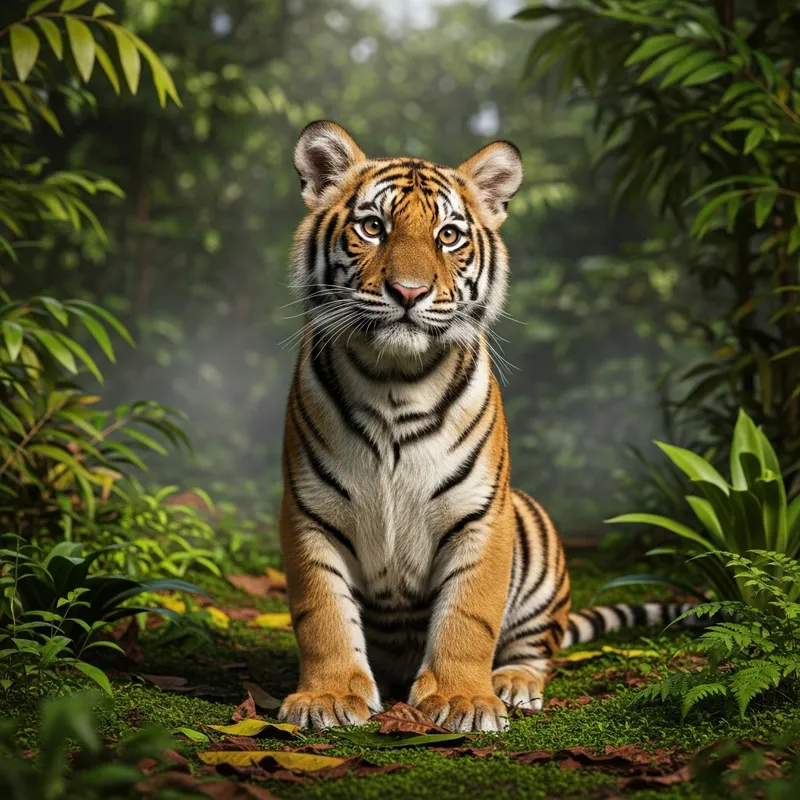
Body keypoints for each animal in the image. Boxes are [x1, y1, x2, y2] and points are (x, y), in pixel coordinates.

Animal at [277, 120, 692, 733]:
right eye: (373, 227)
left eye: (449, 235)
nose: (409, 291)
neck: (394, 380)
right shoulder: (309, 512)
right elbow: (322, 614)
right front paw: (326, 697)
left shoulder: (481, 512)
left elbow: (469, 616)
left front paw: (462, 700)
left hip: (534, 534)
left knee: (535, 648)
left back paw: (513, 683)